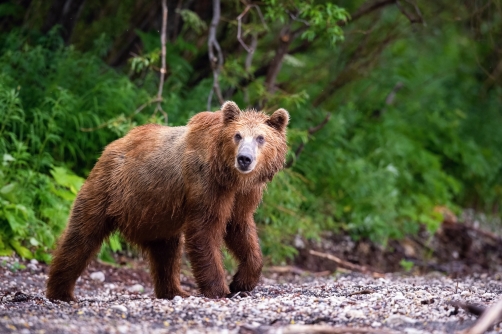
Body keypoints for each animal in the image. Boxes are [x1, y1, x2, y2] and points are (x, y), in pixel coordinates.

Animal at [47, 100, 290, 302]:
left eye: (260, 138)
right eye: (237, 135)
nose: (244, 159)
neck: (230, 176)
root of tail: (111, 146)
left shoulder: (244, 195)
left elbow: (239, 228)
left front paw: (241, 281)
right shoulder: (206, 183)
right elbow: (205, 230)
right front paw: (219, 289)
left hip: (156, 215)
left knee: (166, 253)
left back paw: (175, 291)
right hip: (108, 190)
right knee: (82, 237)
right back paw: (61, 292)